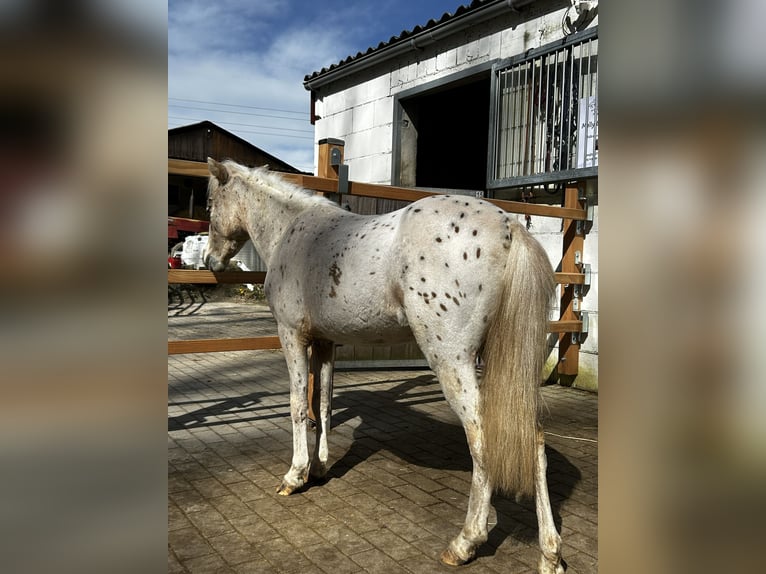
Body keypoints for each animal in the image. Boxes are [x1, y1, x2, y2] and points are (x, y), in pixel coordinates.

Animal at [202, 159, 564, 574]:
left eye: (210, 204)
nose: (210, 262)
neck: (294, 234)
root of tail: (509, 227)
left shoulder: (292, 336)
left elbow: (297, 404)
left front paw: (295, 476)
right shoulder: (325, 343)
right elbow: (321, 404)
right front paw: (320, 468)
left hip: (452, 360)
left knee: (482, 439)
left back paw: (465, 543)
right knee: (533, 439)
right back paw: (550, 554)